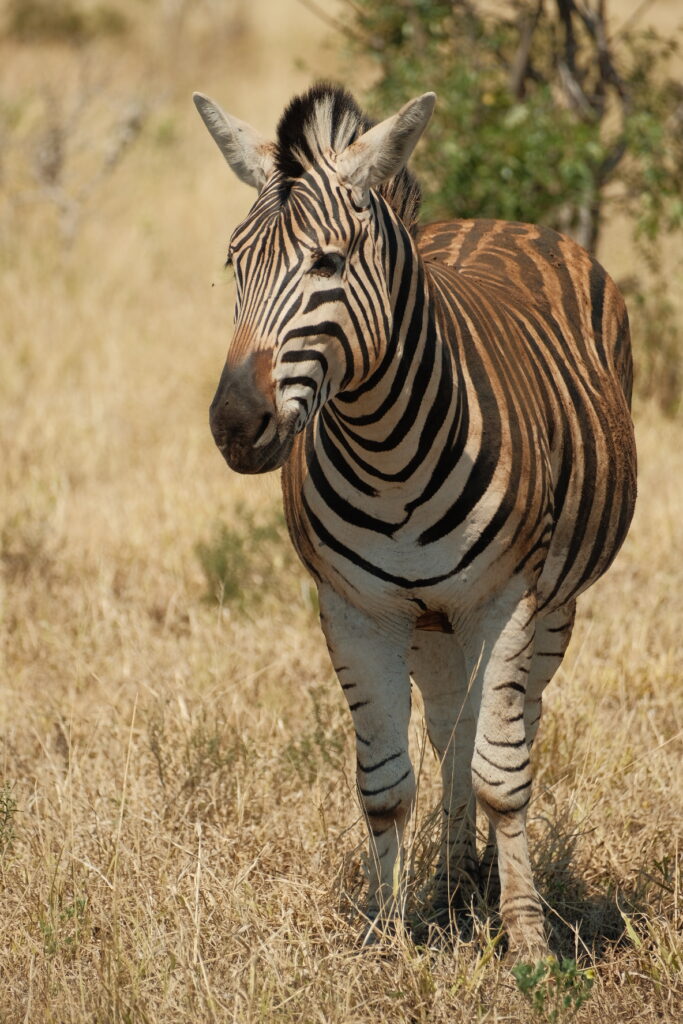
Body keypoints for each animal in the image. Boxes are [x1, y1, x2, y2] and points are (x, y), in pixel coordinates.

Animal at [192, 81, 634, 958]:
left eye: (327, 262)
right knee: (452, 731)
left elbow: (502, 776)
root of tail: (497, 220)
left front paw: (528, 944)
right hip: (432, 620)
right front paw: (385, 936)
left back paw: (488, 883)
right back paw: (454, 881)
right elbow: (385, 784)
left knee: (512, 725)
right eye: (234, 263)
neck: (385, 451)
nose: (234, 425)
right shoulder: (354, 611)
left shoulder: (507, 601)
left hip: (551, 605)